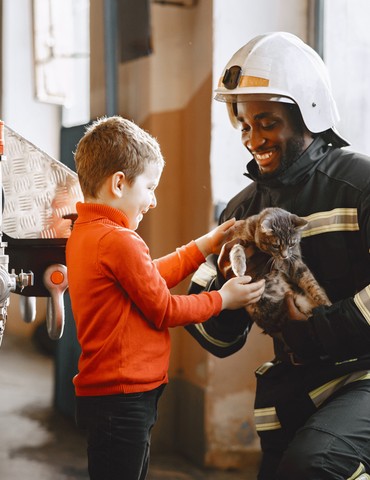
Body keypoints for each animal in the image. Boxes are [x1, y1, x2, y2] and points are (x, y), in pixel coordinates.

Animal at [228, 208, 330, 336]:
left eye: (292, 244)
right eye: (275, 245)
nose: (284, 256)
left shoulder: (295, 262)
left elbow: (311, 283)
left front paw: (326, 302)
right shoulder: (238, 239)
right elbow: (236, 247)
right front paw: (239, 266)